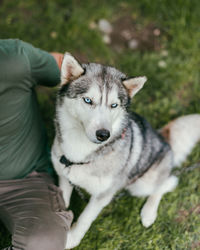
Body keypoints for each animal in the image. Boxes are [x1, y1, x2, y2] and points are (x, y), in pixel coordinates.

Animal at [51, 53, 200, 248]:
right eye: (88, 100)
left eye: (114, 105)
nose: (103, 134)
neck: (81, 154)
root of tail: (161, 137)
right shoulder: (64, 177)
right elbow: (63, 204)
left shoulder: (102, 196)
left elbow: (85, 219)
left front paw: (72, 239)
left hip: (141, 184)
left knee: (167, 183)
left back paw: (149, 213)